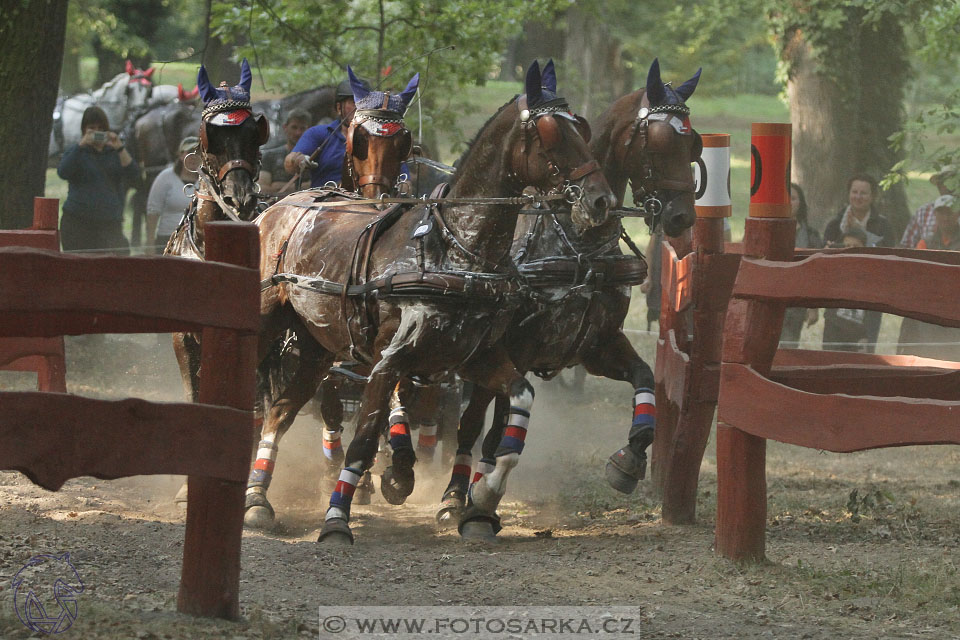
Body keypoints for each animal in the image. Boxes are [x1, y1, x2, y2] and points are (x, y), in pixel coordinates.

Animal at [255, 60, 616, 544]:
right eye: (550, 133)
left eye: (582, 127)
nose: (602, 200)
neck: (457, 250)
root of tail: (279, 207)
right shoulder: (388, 361)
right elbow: (364, 438)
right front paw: (337, 519)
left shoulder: (474, 356)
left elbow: (515, 404)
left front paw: (482, 497)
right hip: (268, 325)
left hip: (316, 346)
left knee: (280, 411)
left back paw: (257, 500)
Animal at [438, 57, 700, 536]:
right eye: (659, 141)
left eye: (692, 142)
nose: (681, 217)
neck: (578, 245)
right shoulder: (517, 349)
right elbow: (495, 427)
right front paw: (479, 499)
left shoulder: (597, 345)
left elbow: (645, 380)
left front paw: (629, 459)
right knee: (472, 423)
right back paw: (455, 494)